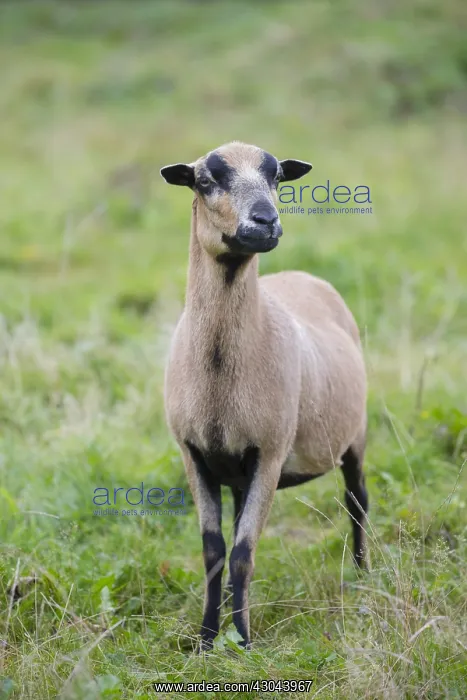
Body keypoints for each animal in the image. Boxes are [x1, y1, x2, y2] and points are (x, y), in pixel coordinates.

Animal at [160, 141, 368, 649]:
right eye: (205, 181)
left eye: (277, 178)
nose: (265, 221)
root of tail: (302, 275)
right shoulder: (193, 453)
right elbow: (214, 551)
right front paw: (206, 640)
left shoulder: (270, 453)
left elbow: (242, 552)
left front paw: (244, 642)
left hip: (356, 433)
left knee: (357, 502)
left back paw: (363, 577)